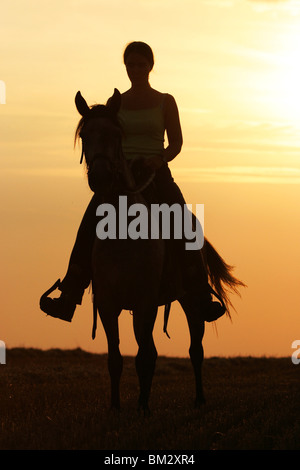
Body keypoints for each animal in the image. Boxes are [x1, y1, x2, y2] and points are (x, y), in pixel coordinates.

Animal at [74, 89, 244, 412]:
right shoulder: (108, 304)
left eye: (117, 134)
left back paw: (199, 399)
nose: (101, 177)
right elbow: (115, 359)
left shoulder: (146, 301)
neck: (123, 238)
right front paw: (116, 407)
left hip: (191, 301)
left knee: (195, 349)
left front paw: (143, 407)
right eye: (85, 136)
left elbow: (145, 356)